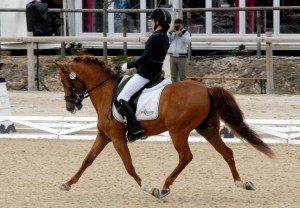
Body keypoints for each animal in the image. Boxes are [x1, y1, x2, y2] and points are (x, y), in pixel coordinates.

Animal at [54, 56, 274, 199]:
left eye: (64, 81)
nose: (70, 106)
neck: (107, 92)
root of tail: (207, 88)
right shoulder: (104, 136)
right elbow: (87, 160)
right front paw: (67, 184)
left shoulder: (117, 138)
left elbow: (129, 166)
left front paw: (149, 189)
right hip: (207, 129)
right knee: (226, 152)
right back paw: (242, 183)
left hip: (178, 131)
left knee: (186, 157)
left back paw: (165, 187)